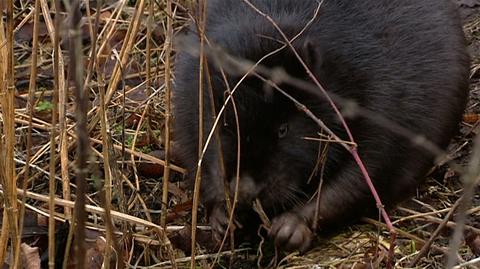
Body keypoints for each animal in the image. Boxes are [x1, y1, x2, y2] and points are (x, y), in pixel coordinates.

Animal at [172, 0, 468, 251]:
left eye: (283, 129)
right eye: (224, 123)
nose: (244, 190)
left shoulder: (387, 101)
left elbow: (369, 170)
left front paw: (291, 227)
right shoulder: (191, 91)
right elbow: (193, 151)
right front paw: (222, 217)